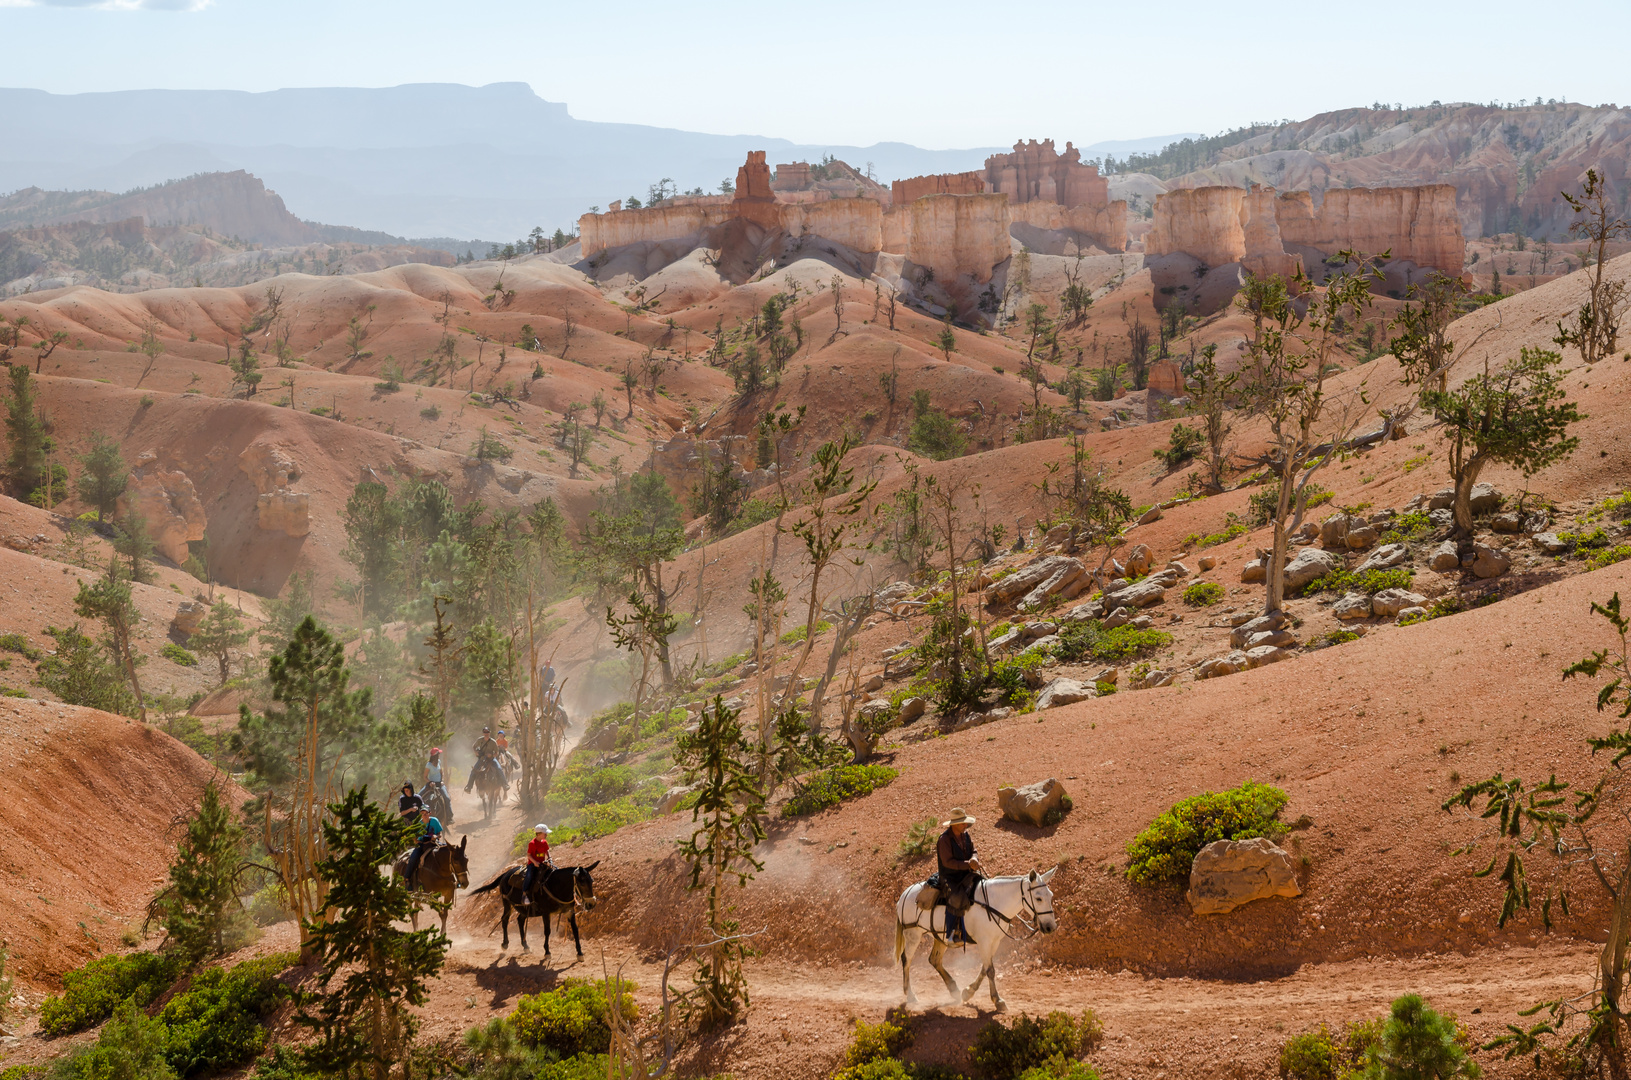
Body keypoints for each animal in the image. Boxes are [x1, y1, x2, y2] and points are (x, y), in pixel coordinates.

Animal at [466, 867, 600, 959]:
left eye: (592, 881)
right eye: (582, 882)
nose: (592, 903)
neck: (555, 886)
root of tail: (505, 874)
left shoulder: (569, 911)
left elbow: (576, 930)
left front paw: (580, 953)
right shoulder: (546, 913)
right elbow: (547, 931)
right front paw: (547, 952)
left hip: (524, 909)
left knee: (520, 920)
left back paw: (525, 946)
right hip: (507, 903)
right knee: (504, 919)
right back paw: (505, 944)